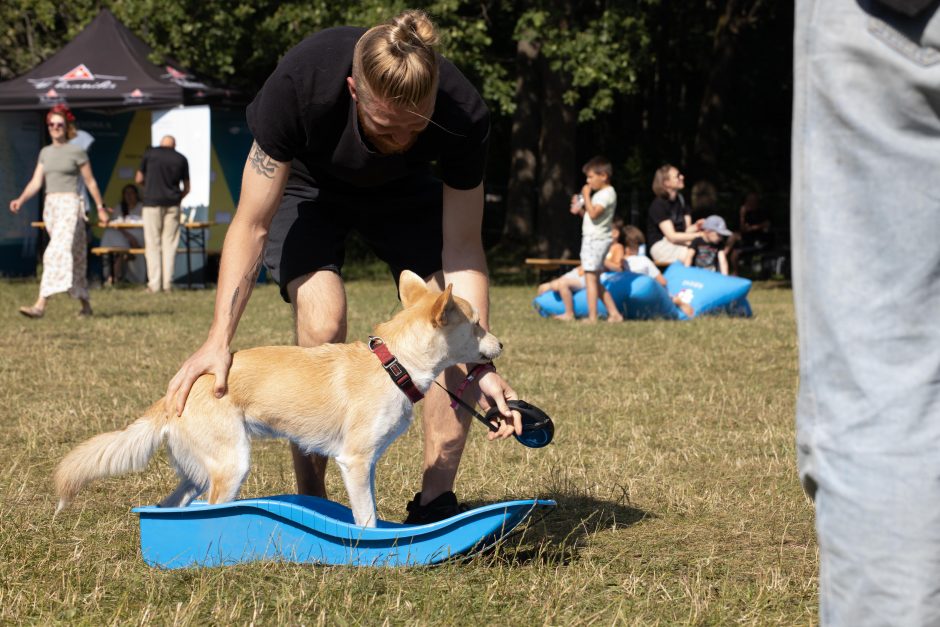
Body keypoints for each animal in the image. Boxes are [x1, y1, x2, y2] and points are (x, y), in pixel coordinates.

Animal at [55, 272, 504, 528]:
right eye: (477, 324)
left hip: (198, 471)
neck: (392, 364)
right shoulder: (355, 461)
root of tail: (175, 396)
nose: (501, 344)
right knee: (208, 508)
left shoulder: (366, 465)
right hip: (231, 465)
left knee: (174, 507)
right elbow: (367, 520)